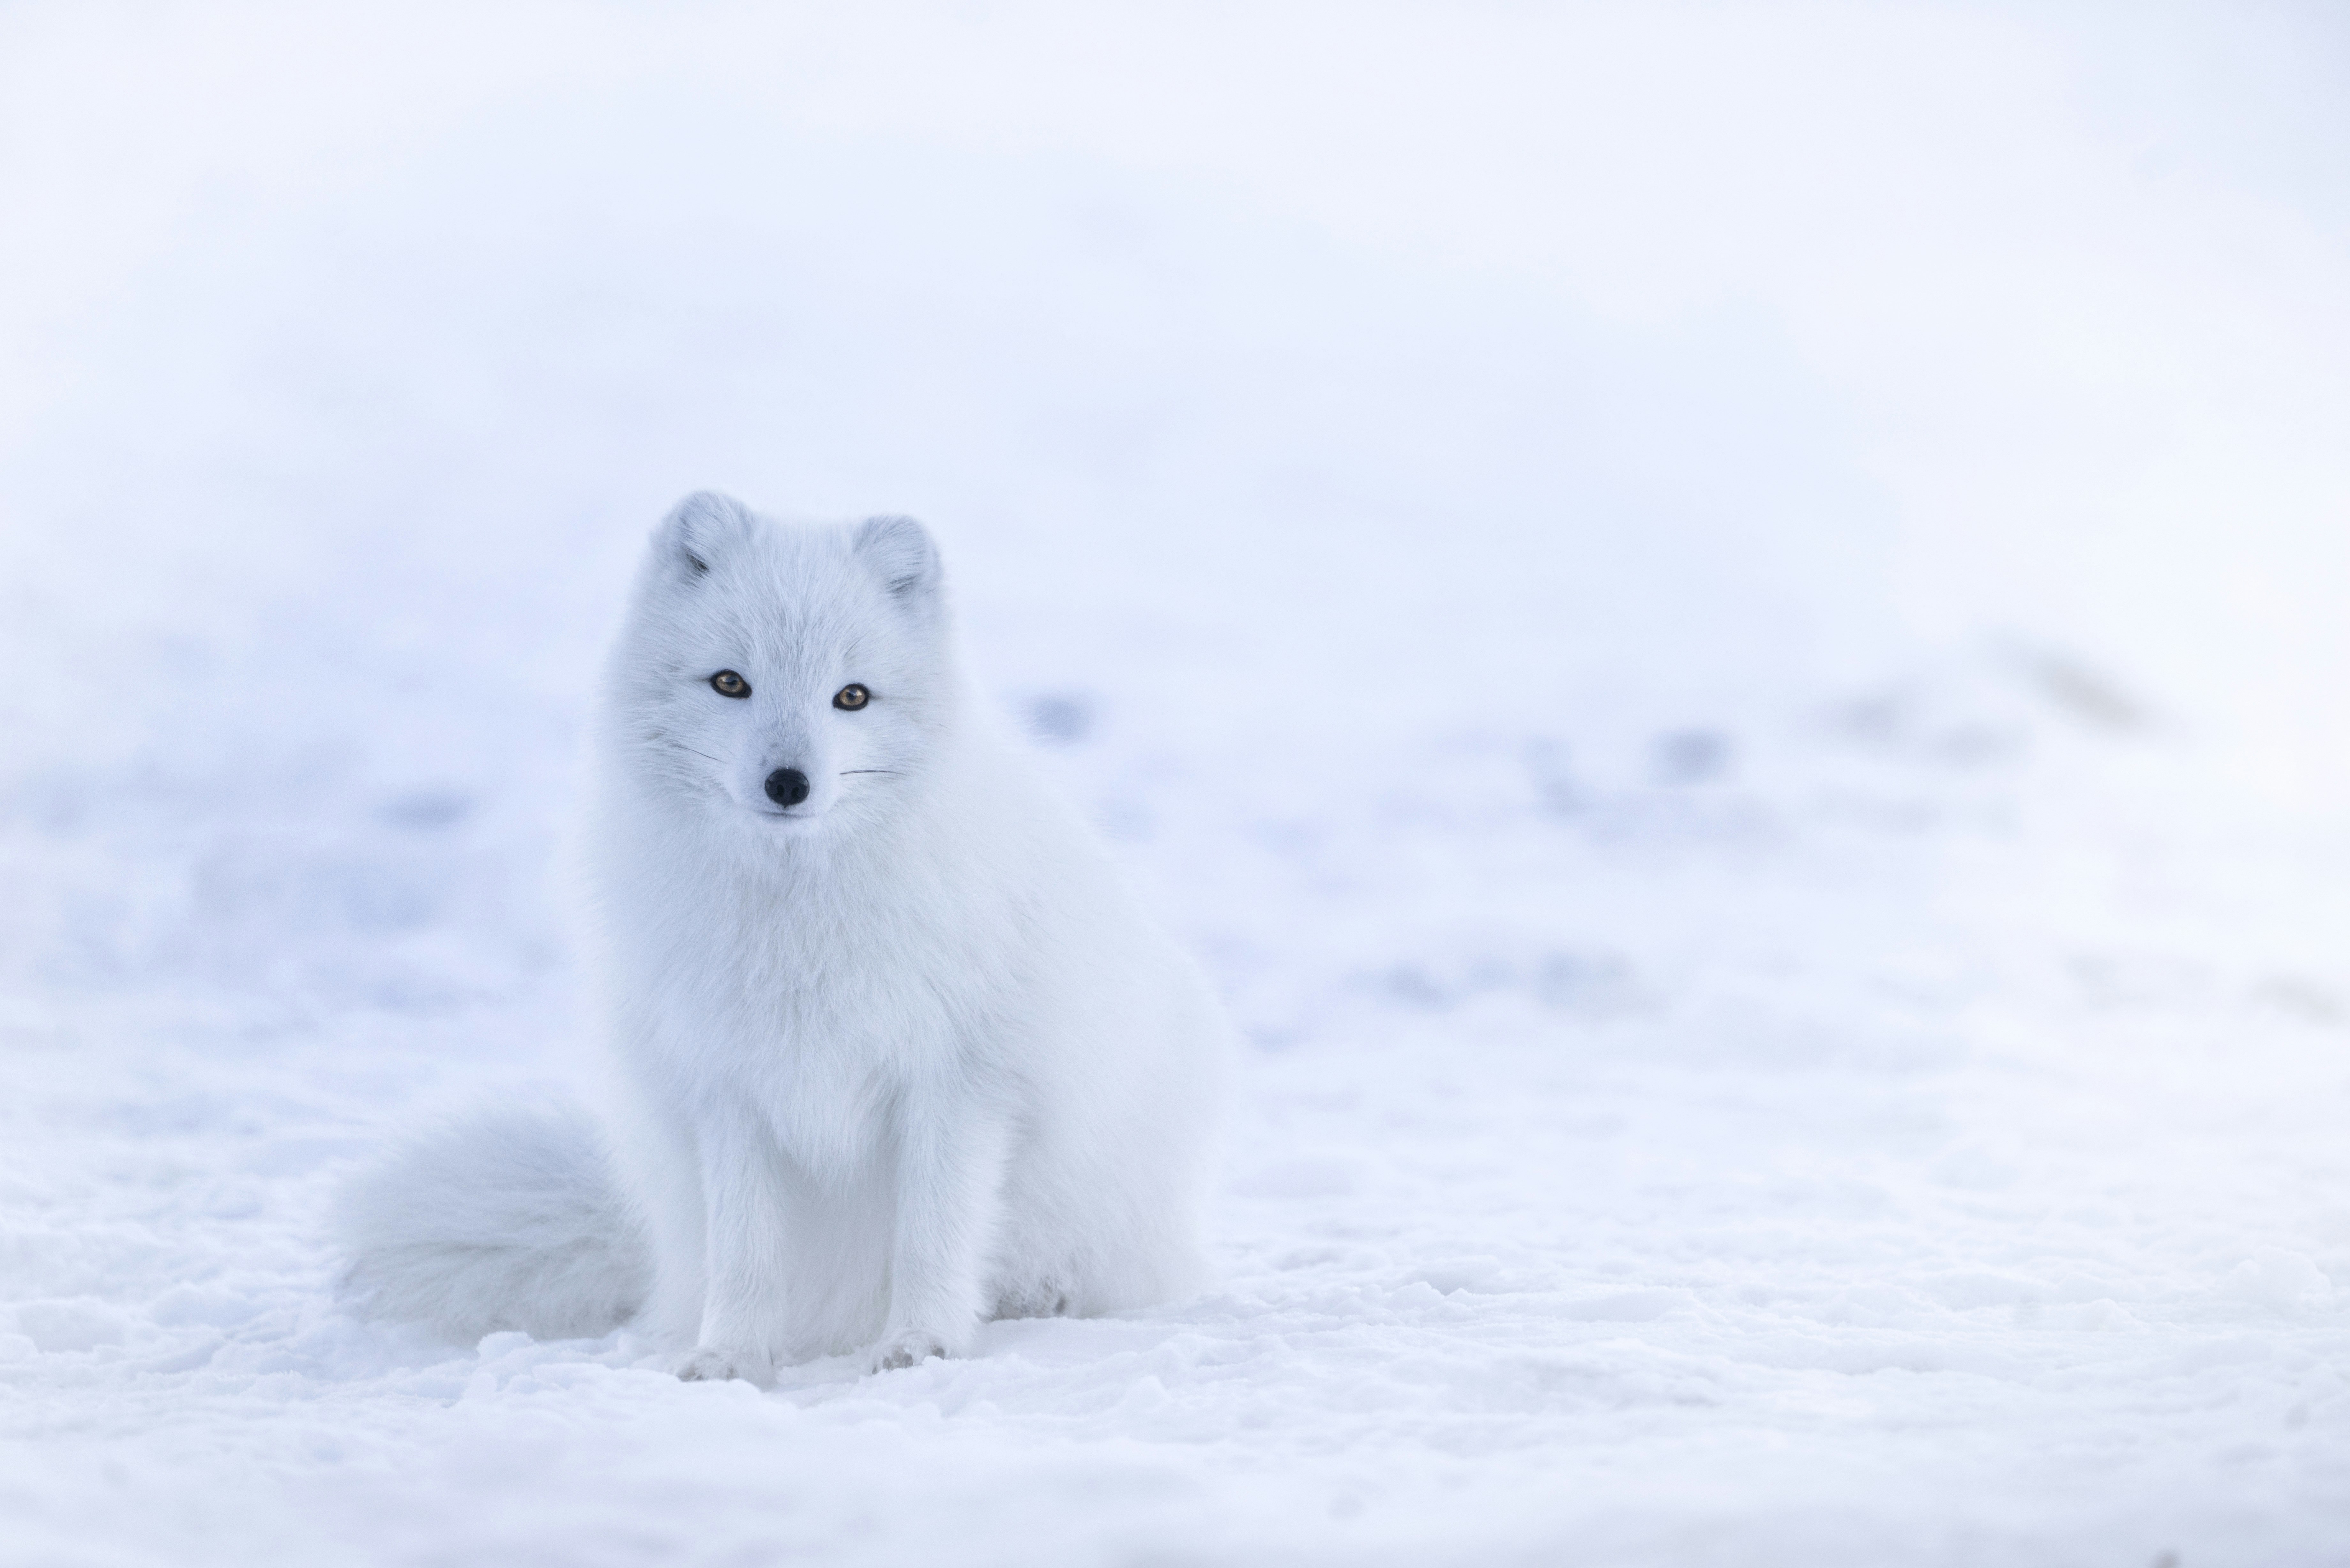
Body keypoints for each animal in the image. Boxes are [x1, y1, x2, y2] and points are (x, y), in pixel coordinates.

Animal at [338, 493, 1229, 1382]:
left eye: (853, 696)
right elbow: (745, 1252)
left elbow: (932, 1235)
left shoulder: (959, 1081)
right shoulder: (728, 1087)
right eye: (731, 682)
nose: (788, 783)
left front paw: (921, 1342)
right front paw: (730, 1356)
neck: (798, 919)